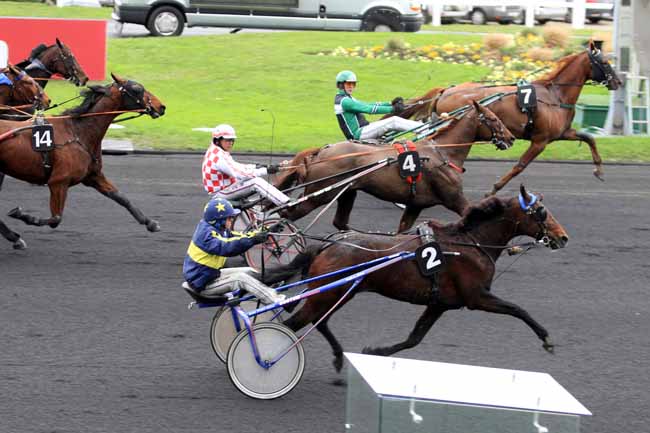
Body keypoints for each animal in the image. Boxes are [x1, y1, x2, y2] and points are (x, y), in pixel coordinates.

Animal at [0, 73, 165, 250]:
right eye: (137, 89)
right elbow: (56, 219)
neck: (78, 132)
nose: (161, 106)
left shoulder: (93, 176)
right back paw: (14, 237)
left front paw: (150, 222)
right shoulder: (59, 182)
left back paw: (13, 237)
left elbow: (121, 197)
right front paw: (24, 215)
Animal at [264, 185, 569, 372]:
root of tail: (327, 244)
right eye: (542, 212)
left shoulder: (440, 303)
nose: (563, 237)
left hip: (339, 293)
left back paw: (339, 357)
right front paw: (546, 338)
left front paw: (376, 351)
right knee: (294, 324)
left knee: (319, 321)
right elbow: (518, 309)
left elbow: (414, 339)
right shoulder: (477, 297)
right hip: (330, 293)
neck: (471, 242)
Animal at [274, 101, 515, 233]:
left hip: (347, 193)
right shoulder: (454, 199)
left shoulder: (415, 205)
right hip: (320, 195)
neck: (442, 151)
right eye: (493, 118)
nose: (511, 138)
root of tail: (321, 152)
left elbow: (403, 231)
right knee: (284, 215)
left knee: (339, 222)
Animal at [398, 42, 621, 195]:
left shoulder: (561, 133)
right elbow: (520, 166)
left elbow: (589, 138)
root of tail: (446, 90)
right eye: (604, 62)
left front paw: (599, 170)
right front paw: (494, 189)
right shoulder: (540, 141)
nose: (618, 82)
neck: (555, 96)